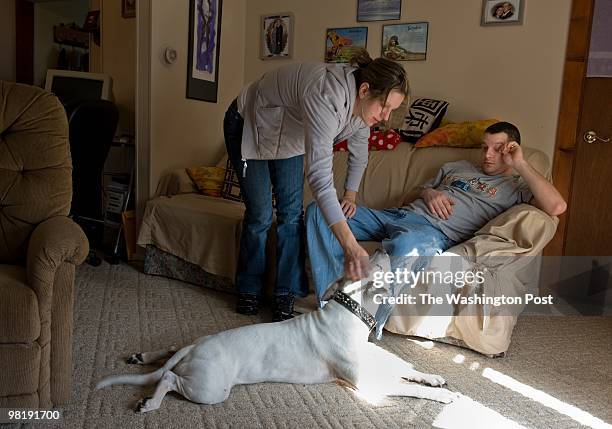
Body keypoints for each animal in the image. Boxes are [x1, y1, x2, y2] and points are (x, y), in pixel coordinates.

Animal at [97, 251, 460, 412]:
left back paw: (144, 355)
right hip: (210, 388)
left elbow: (404, 366)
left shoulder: (373, 357)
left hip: (192, 359)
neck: (350, 310)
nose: (386, 245)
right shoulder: (367, 383)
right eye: (376, 262)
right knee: (169, 378)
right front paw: (444, 396)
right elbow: (405, 386)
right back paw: (151, 402)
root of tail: (197, 347)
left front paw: (433, 377)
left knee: (170, 350)